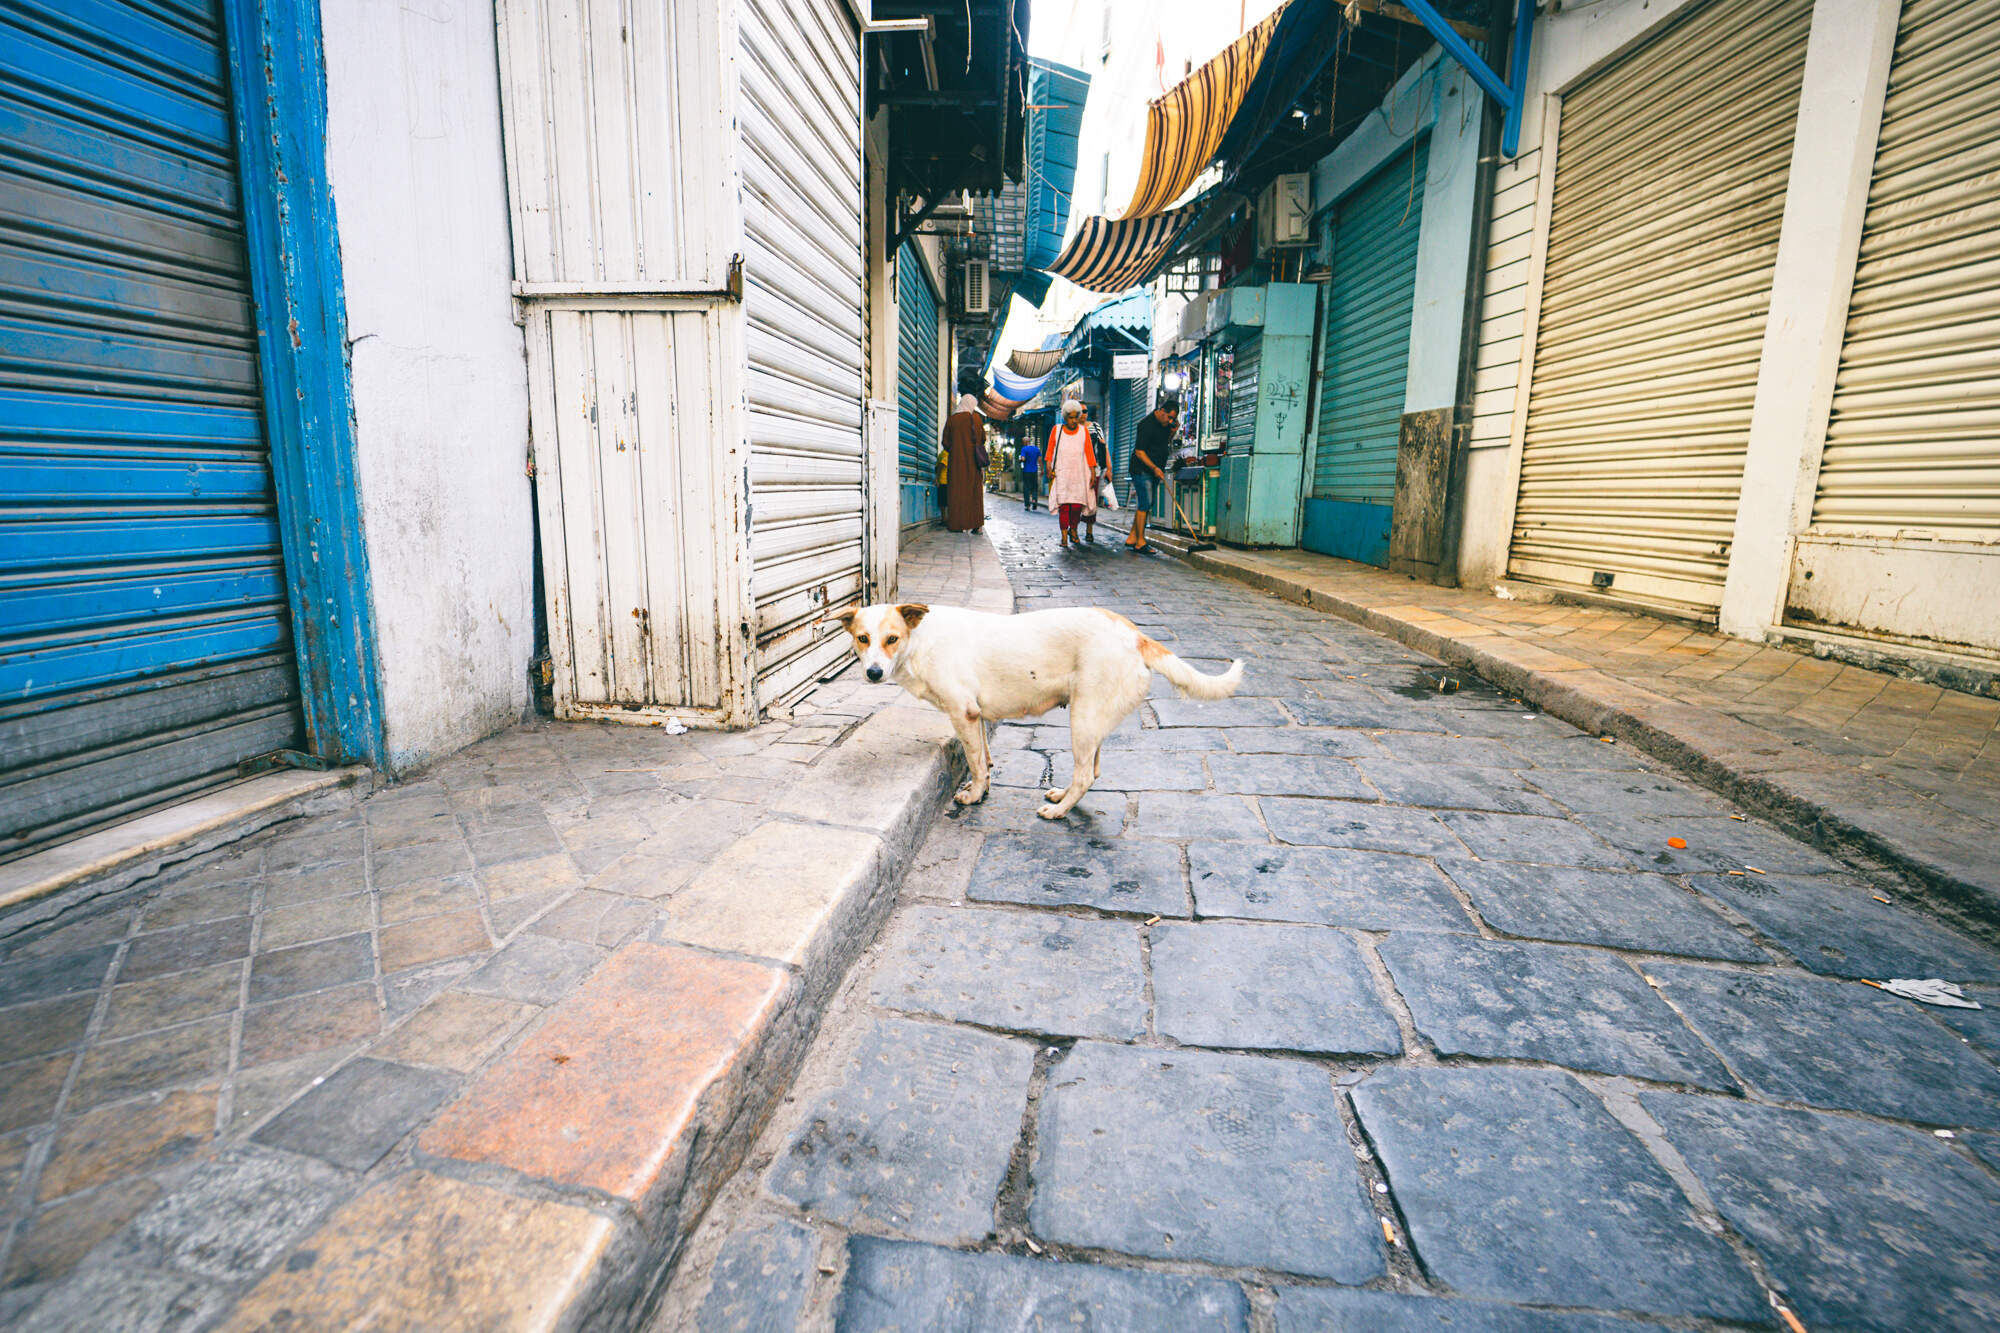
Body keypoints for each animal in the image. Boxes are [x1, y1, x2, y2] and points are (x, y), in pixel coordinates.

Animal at [828, 600, 1232, 808]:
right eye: (862, 639)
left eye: (891, 638)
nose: (874, 673)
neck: (920, 639)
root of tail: (1134, 634)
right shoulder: (976, 715)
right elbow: (985, 758)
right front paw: (984, 786)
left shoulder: (963, 712)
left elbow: (975, 763)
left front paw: (974, 795)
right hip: (1094, 720)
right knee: (1094, 771)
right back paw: (1061, 796)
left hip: (1083, 721)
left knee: (1085, 775)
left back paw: (1059, 811)